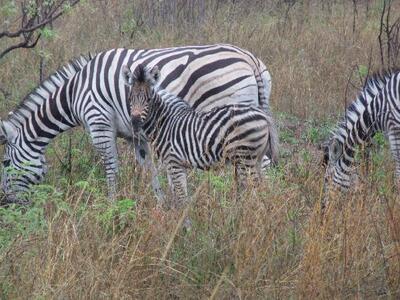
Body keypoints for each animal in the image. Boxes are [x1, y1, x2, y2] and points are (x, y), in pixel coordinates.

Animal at [0, 44, 272, 204]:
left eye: (5, 163)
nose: (6, 204)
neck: (75, 92)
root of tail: (249, 58)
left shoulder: (99, 124)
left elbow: (111, 171)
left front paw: (111, 208)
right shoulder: (135, 135)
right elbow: (148, 169)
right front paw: (162, 206)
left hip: (234, 124)